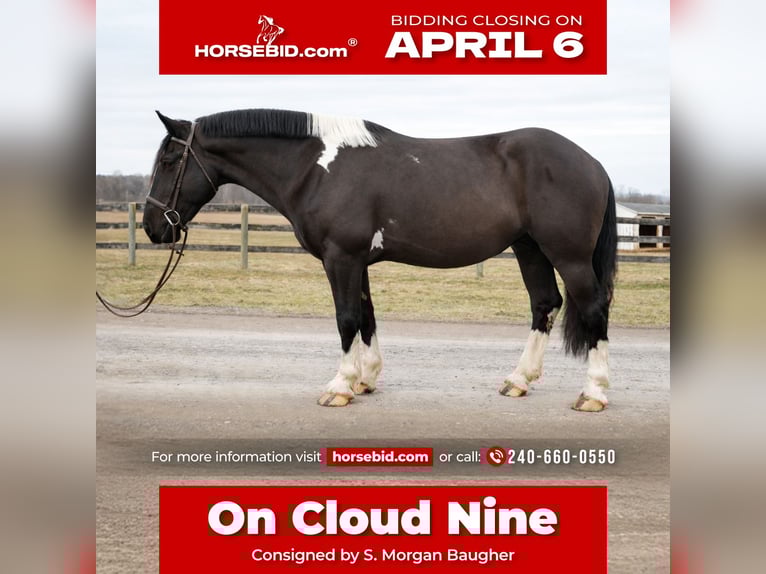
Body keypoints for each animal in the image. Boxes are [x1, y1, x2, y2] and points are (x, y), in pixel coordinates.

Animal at [143, 109, 617, 412]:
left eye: (169, 159)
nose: (153, 227)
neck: (317, 168)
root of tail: (592, 162)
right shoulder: (357, 262)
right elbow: (367, 316)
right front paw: (365, 379)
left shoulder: (341, 258)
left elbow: (346, 319)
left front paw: (339, 387)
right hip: (529, 248)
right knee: (544, 304)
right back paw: (518, 381)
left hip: (568, 255)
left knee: (592, 308)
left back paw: (593, 394)